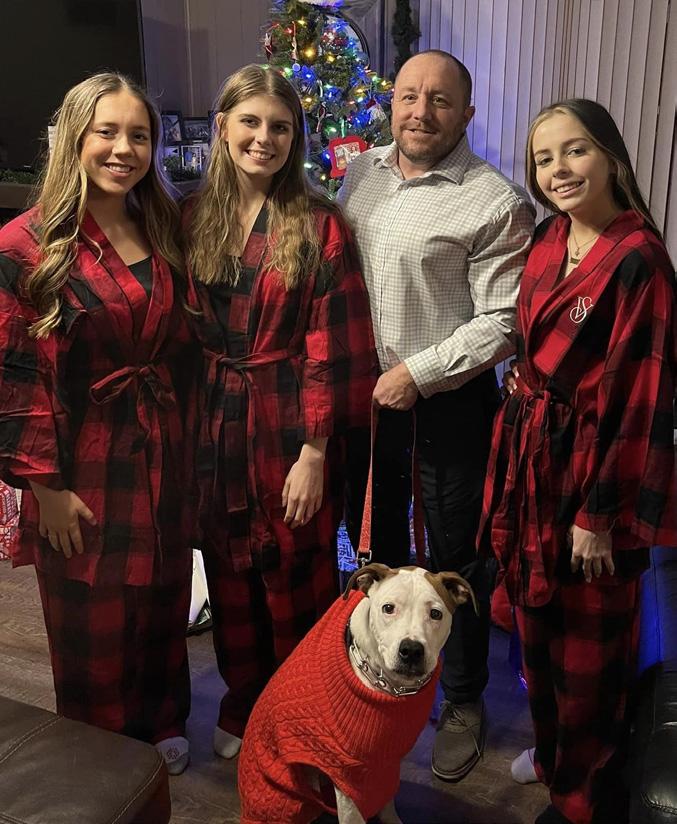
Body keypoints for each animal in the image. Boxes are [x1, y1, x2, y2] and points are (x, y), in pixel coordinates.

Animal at [238, 563, 477, 824]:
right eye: (388, 608)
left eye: (436, 614)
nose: (412, 650)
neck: (390, 686)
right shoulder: (346, 775)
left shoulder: (386, 762)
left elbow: (386, 799)